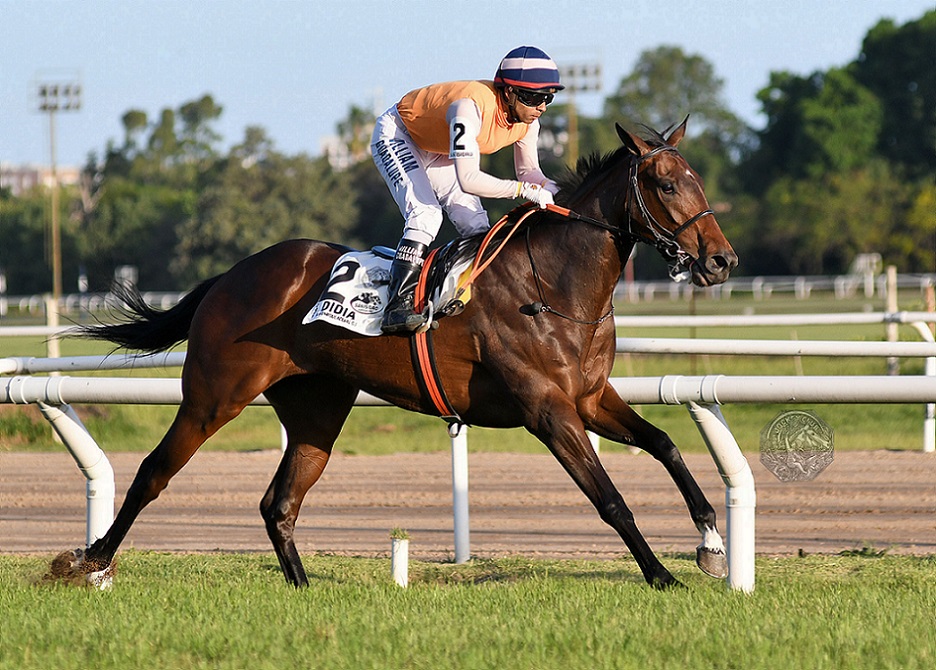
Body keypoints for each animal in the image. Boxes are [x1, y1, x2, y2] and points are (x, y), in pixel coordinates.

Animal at [56, 119, 738, 590]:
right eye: (666, 183)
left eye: (700, 180)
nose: (721, 260)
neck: (552, 284)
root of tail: (229, 276)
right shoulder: (548, 410)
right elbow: (610, 499)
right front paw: (662, 575)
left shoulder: (591, 398)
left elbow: (666, 444)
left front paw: (710, 541)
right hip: (213, 394)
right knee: (153, 472)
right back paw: (88, 562)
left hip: (317, 409)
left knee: (280, 503)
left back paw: (304, 588)